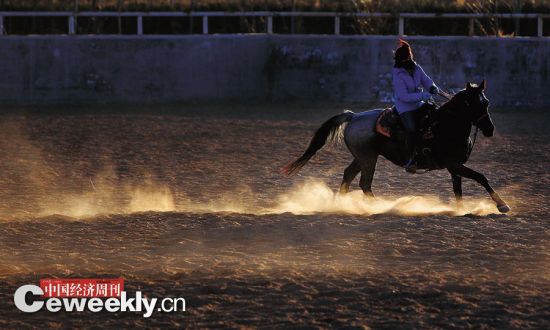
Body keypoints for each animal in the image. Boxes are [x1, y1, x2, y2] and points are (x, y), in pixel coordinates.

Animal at [284, 80, 512, 214]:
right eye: (476, 104)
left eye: (487, 102)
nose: (490, 129)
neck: (446, 126)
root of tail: (354, 116)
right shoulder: (454, 165)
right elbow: (481, 177)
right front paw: (502, 205)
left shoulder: (454, 167)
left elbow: (458, 190)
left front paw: (460, 209)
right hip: (368, 158)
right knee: (364, 184)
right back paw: (379, 206)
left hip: (362, 157)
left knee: (348, 175)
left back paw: (340, 205)